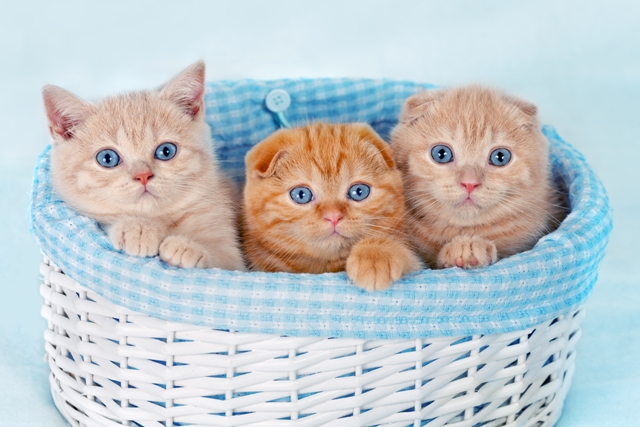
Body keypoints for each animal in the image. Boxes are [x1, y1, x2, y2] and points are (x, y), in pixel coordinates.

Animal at [40, 61, 245, 270]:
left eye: (166, 151)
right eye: (107, 158)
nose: (143, 175)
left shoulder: (232, 257)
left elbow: (224, 260)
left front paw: (187, 248)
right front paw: (137, 229)